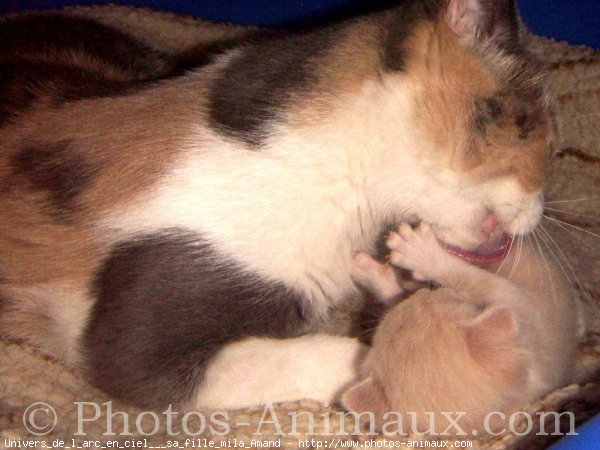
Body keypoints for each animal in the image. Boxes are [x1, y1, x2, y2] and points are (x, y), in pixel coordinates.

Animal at [344, 224, 584, 436]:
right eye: (444, 297)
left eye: (434, 296)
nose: (424, 291)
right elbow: (474, 281)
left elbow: (467, 280)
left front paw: (404, 260)